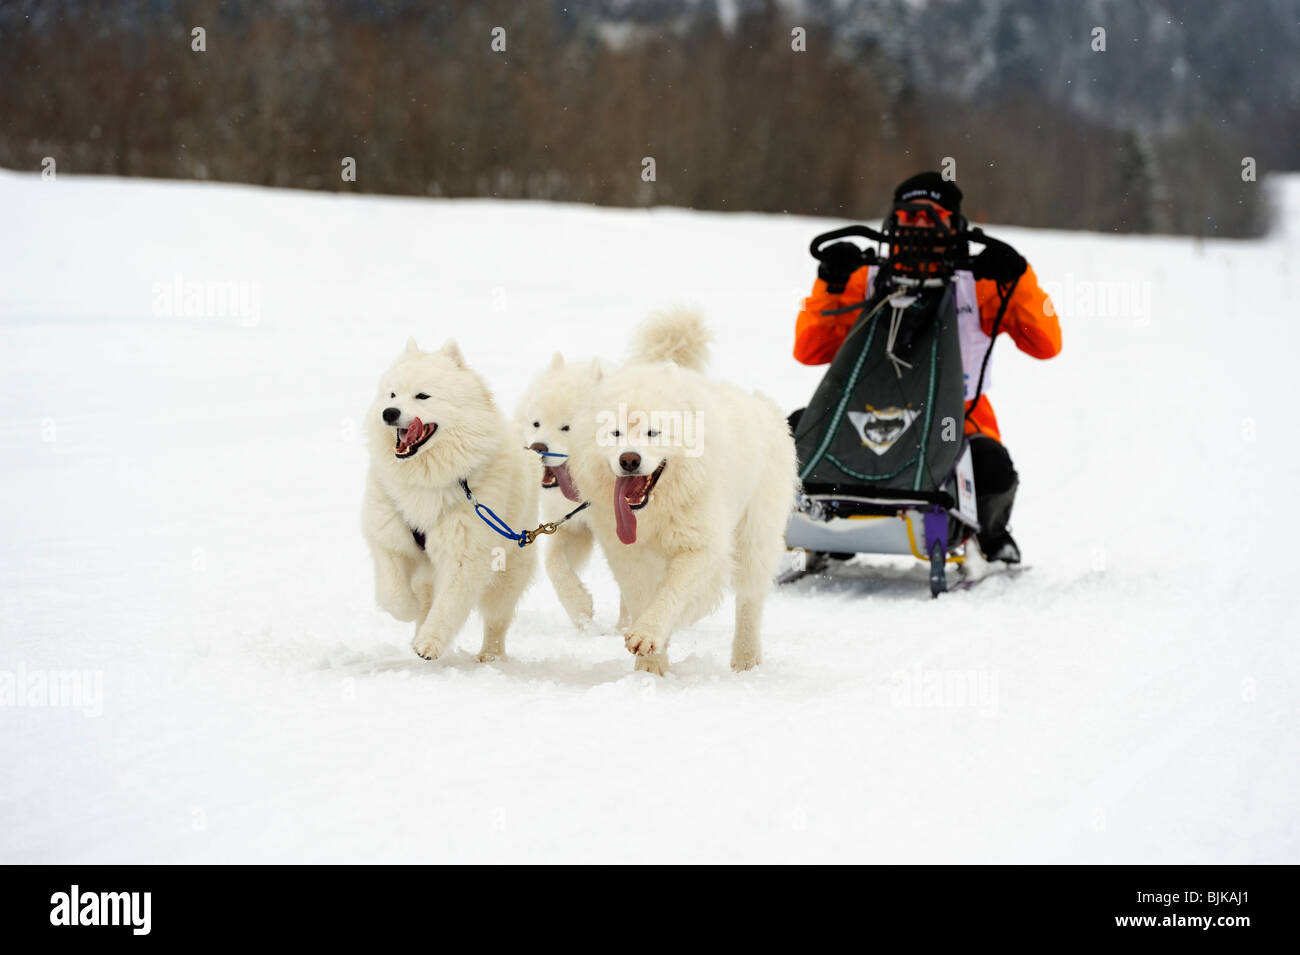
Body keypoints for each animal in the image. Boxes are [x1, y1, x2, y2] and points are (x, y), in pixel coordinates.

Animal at [361, 340, 538, 660]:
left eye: (422, 395)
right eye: (391, 394)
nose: (389, 412)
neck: (426, 480)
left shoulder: (466, 553)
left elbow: (449, 605)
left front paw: (429, 644)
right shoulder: (388, 536)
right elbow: (394, 593)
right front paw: (408, 611)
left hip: (509, 569)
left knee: (496, 620)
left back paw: (489, 657)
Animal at [572, 310, 800, 675]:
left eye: (654, 432)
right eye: (615, 432)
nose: (629, 459)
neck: (654, 511)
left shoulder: (701, 546)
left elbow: (672, 592)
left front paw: (650, 635)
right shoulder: (626, 555)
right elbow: (641, 596)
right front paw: (650, 668)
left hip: (755, 536)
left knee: (750, 600)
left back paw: (746, 659)